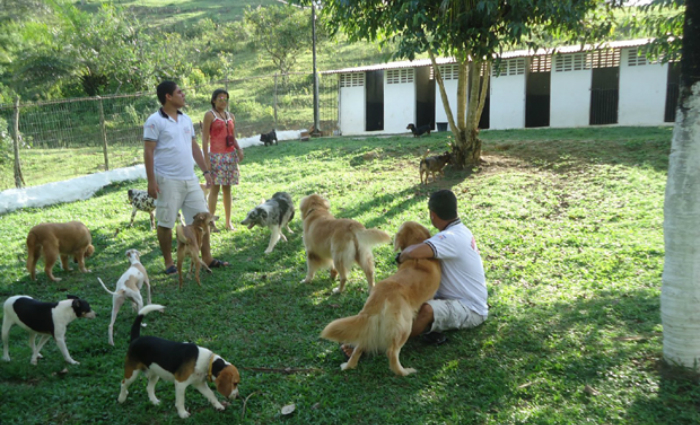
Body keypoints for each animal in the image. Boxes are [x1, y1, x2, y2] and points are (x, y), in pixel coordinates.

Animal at [320, 222, 440, 374]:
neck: (417, 252)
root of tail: (380, 294)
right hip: (404, 326)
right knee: (392, 352)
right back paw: (404, 372)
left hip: (371, 325)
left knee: (360, 345)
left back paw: (348, 365)